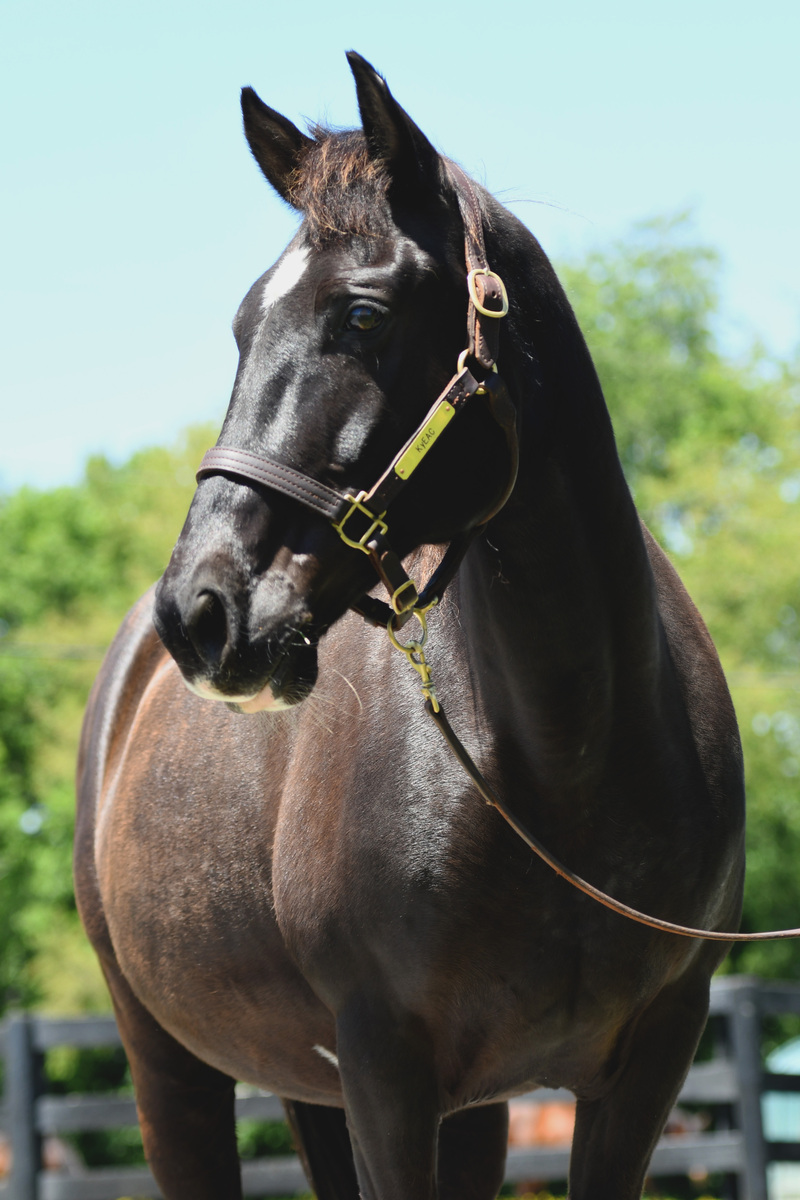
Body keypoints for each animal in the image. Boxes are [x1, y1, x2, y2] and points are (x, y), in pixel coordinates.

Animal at [75, 51, 745, 1200]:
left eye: (360, 315)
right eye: (242, 327)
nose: (201, 609)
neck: (566, 764)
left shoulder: (651, 1060)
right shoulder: (386, 1067)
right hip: (172, 1069)